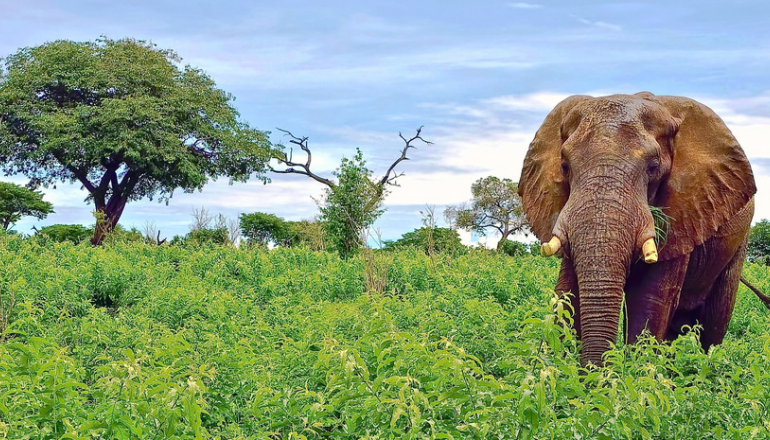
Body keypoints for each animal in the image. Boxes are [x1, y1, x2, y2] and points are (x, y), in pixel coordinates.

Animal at [516, 91, 756, 366]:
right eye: (565, 166)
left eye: (653, 167)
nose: (595, 370)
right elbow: (567, 291)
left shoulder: (684, 212)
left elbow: (647, 298)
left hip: (738, 243)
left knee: (714, 323)